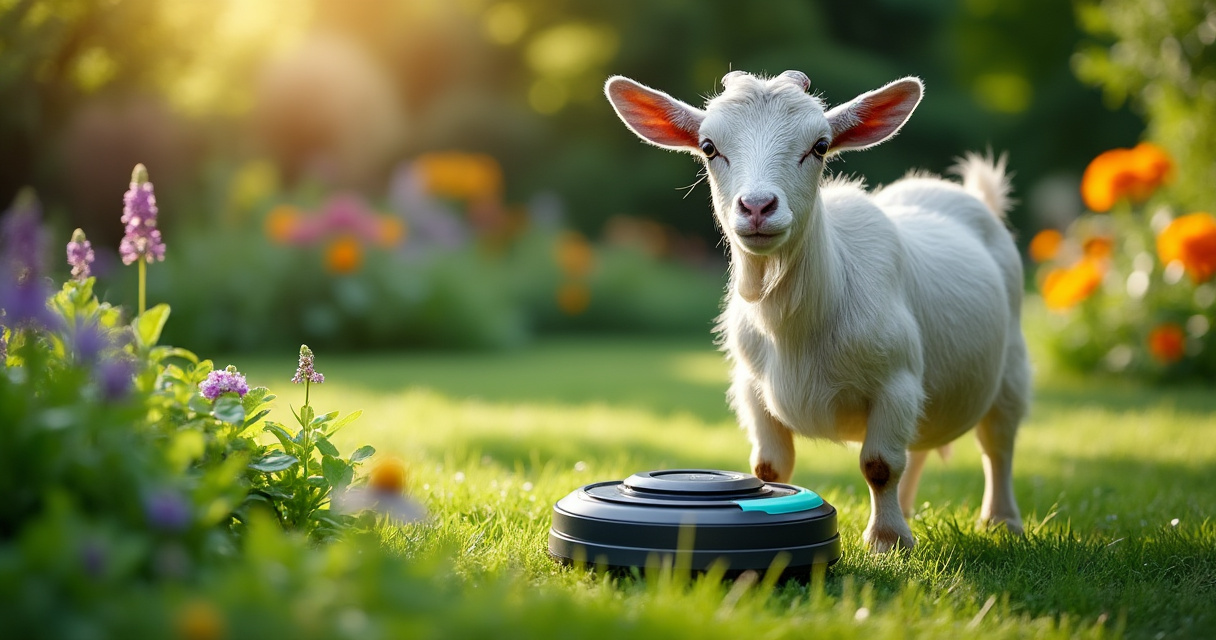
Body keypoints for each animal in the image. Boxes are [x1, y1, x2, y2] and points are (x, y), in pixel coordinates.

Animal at [605, 70, 1030, 552]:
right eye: (709, 147)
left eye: (820, 146)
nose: (757, 207)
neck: (796, 325)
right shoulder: (752, 389)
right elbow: (768, 467)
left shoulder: (896, 381)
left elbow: (880, 464)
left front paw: (886, 541)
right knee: (922, 445)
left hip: (1011, 364)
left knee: (998, 442)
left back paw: (1001, 520)